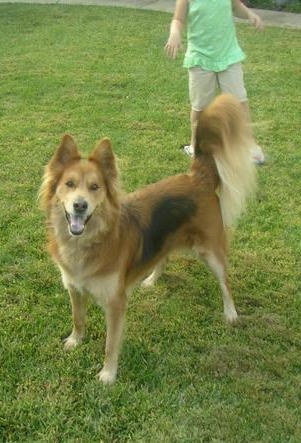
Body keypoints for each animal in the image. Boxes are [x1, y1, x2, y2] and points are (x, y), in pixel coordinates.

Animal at [39, 94, 255, 386]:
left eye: (95, 187)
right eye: (69, 184)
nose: (80, 206)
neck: (89, 243)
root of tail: (197, 175)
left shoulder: (116, 303)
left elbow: (110, 344)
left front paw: (108, 375)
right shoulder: (74, 287)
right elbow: (78, 318)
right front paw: (75, 340)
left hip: (211, 250)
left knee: (225, 282)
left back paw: (231, 313)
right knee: (163, 256)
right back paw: (152, 279)